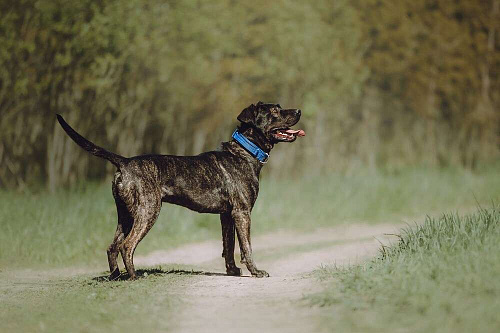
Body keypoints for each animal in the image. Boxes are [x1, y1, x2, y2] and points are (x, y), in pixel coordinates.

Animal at [55, 101, 304, 278]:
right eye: (275, 111)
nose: (299, 110)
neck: (246, 151)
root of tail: (125, 162)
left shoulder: (227, 215)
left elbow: (229, 245)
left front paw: (232, 271)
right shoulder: (242, 213)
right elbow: (247, 247)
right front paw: (256, 271)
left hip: (125, 215)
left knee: (112, 247)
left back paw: (116, 277)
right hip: (147, 212)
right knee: (127, 245)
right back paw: (133, 277)